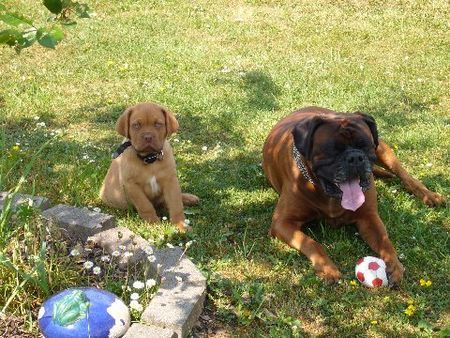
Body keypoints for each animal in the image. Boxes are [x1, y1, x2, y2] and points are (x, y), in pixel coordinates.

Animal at [100, 101, 199, 231]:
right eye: (136, 125)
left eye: (158, 124)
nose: (148, 137)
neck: (150, 159)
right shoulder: (131, 185)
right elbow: (145, 206)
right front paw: (154, 224)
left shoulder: (170, 180)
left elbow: (176, 204)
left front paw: (180, 224)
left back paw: (190, 198)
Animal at [262, 107, 444, 284]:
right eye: (333, 150)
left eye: (364, 145)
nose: (355, 157)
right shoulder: (282, 223)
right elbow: (312, 243)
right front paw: (327, 268)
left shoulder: (369, 218)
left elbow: (385, 241)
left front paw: (395, 265)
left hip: (384, 150)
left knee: (404, 175)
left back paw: (428, 195)